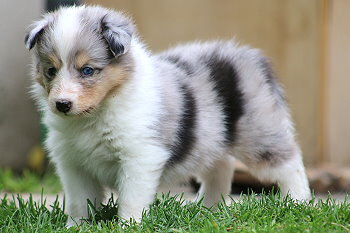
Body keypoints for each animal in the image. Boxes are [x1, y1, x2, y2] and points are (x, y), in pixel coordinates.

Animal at [26, 5, 310, 226]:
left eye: (87, 70)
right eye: (51, 70)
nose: (62, 105)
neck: (96, 114)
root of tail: (250, 56)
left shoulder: (140, 157)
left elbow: (131, 198)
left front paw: (128, 225)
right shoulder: (73, 163)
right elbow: (79, 201)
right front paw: (76, 226)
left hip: (258, 133)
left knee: (289, 162)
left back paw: (299, 203)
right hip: (211, 138)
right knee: (221, 167)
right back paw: (206, 208)